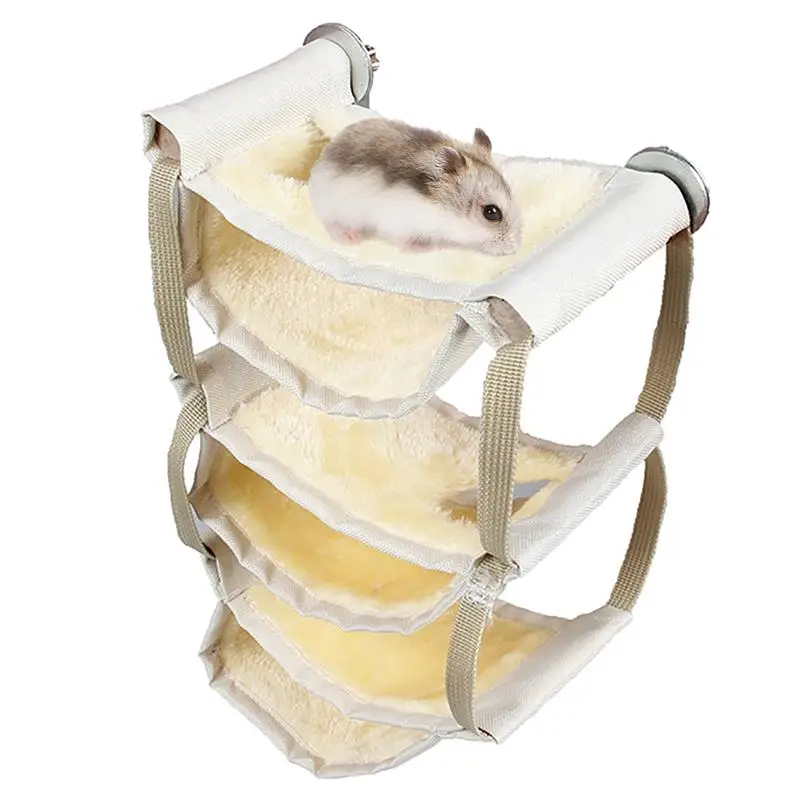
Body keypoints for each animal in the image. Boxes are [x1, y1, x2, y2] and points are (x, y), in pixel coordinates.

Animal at [308, 118, 522, 256]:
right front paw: (423, 248)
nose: (514, 249)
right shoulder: (397, 224)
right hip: (336, 209)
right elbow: (404, 241)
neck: (442, 211)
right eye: (491, 213)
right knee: (330, 223)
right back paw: (350, 237)